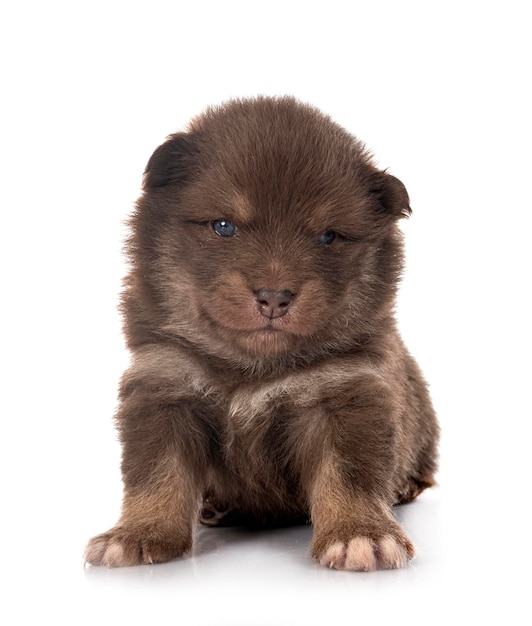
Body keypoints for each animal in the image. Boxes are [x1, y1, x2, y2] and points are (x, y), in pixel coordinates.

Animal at [85, 95, 438, 568]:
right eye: (223, 226)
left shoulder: (347, 393)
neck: (252, 365)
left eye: (328, 236)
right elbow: (158, 474)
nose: (274, 296)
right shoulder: (165, 387)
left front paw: (360, 534)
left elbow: (349, 474)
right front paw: (137, 533)